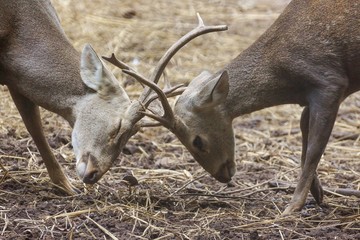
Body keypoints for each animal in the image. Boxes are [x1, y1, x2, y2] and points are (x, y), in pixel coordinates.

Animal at [0, 0, 228, 195]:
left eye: (133, 133)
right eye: (118, 125)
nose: (92, 175)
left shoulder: (16, 81)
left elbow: (35, 128)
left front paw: (67, 187)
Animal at [110, 0, 360, 215]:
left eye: (197, 141)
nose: (222, 176)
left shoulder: (329, 82)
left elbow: (314, 149)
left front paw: (292, 207)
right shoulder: (310, 98)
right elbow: (304, 138)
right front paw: (317, 194)